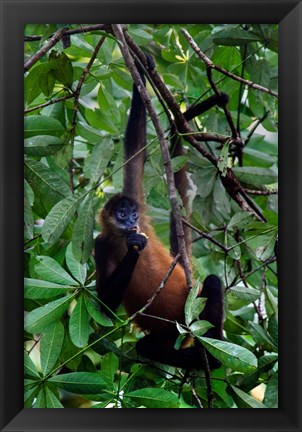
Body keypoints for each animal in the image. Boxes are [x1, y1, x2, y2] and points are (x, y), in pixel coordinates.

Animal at [95, 55, 228, 370]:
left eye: (131, 213)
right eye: (120, 215)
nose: (131, 221)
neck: (119, 237)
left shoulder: (139, 207)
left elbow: (136, 148)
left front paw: (142, 69)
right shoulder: (100, 243)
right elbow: (103, 307)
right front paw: (134, 249)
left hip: (195, 306)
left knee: (212, 282)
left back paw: (211, 354)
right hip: (170, 333)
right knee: (145, 347)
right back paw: (197, 357)